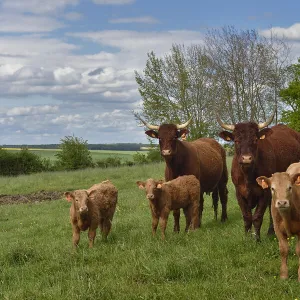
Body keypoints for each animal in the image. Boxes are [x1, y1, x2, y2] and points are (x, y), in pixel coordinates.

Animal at [217, 113, 300, 241]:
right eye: (236, 140)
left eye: (255, 140)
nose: (246, 158)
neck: (248, 176)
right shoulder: (239, 192)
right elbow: (246, 216)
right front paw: (247, 239)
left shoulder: (264, 193)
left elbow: (257, 217)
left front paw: (257, 239)